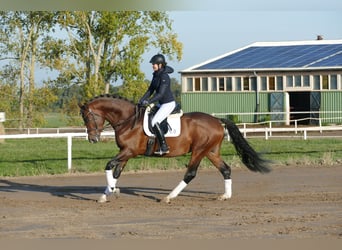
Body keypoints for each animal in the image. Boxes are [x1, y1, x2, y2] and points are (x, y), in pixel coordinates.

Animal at [79, 94, 270, 203]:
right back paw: (225, 196)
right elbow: (116, 172)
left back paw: (169, 197)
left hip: (199, 151)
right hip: (211, 151)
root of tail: (217, 120)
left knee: (190, 173)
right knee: (226, 170)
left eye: (88, 118)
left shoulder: (129, 152)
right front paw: (107, 194)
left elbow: (109, 166)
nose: (93, 139)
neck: (128, 120)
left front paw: (112, 191)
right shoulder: (125, 153)